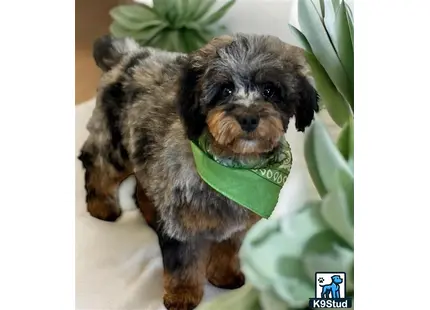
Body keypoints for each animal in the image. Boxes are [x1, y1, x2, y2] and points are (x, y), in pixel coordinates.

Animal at [78, 34, 320, 310]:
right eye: (225, 89)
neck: (232, 168)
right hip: (116, 146)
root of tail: (128, 54)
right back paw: (101, 205)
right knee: (96, 164)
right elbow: (183, 262)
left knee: (142, 186)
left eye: (270, 90)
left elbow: (228, 249)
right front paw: (182, 294)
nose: (248, 118)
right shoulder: (181, 221)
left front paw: (223, 275)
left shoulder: (236, 225)